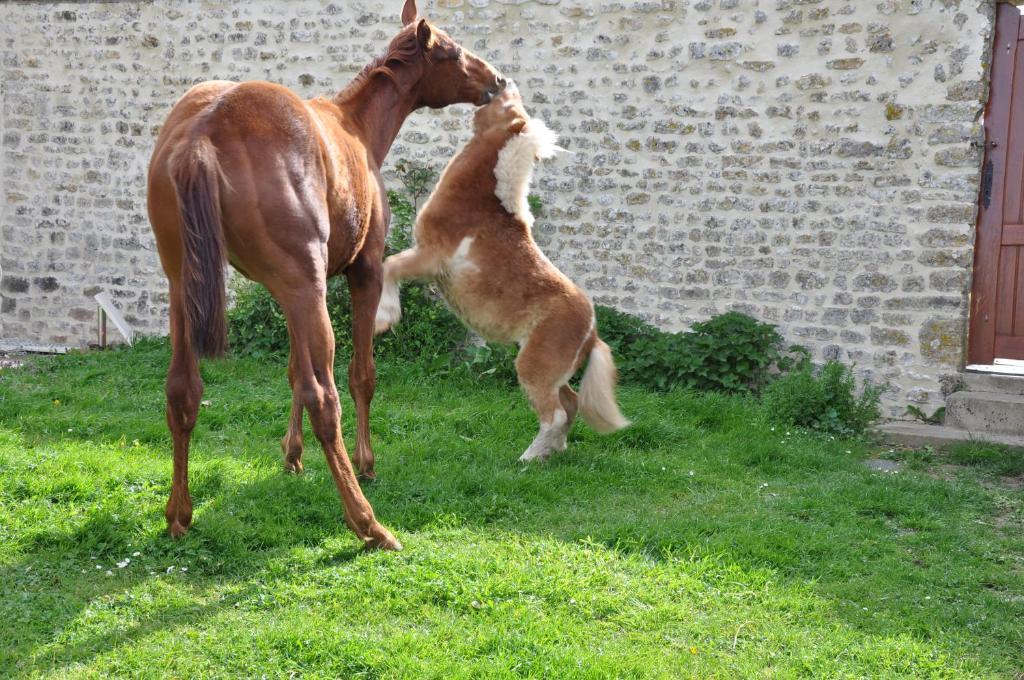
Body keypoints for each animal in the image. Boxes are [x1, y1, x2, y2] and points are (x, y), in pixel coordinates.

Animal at [146, 0, 505, 548]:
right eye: (451, 51)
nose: (497, 80)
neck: (355, 126)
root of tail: (202, 134)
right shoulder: (363, 273)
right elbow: (360, 375)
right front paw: (367, 462)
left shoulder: (289, 291)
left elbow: (294, 370)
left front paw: (291, 456)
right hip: (306, 287)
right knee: (326, 399)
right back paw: (368, 523)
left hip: (191, 286)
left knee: (183, 390)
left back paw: (179, 515)